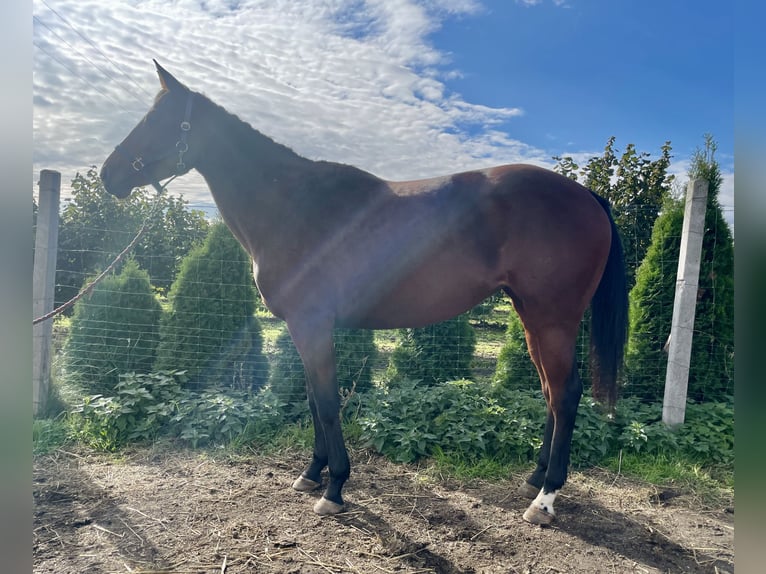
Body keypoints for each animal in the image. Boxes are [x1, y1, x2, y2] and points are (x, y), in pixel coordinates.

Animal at [100, 62, 632, 528]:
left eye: (157, 119)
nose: (109, 175)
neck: (292, 206)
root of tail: (587, 195)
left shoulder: (312, 324)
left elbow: (327, 402)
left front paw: (335, 489)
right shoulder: (304, 327)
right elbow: (313, 399)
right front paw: (310, 475)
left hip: (552, 318)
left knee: (565, 394)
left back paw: (545, 500)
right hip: (530, 317)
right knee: (549, 394)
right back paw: (534, 479)